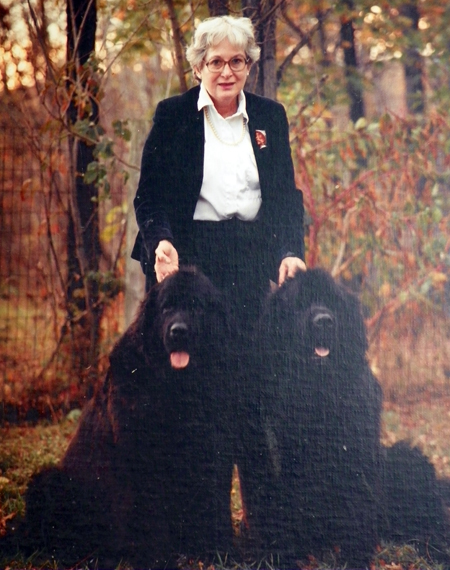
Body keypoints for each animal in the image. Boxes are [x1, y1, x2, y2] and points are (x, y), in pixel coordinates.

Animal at [19, 266, 237, 564]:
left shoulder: (212, 449)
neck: (176, 386)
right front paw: (156, 558)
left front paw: (220, 552)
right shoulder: (139, 456)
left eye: (197, 306)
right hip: (49, 482)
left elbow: (214, 502)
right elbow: (149, 514)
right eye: (167, 307)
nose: (178, 331)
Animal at [239, 268, 384, 568]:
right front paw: (277, 558)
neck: (314, 394)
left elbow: (357, 506)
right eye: (301, 304)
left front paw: (355, 557)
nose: (324, 321)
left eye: (333, 304)